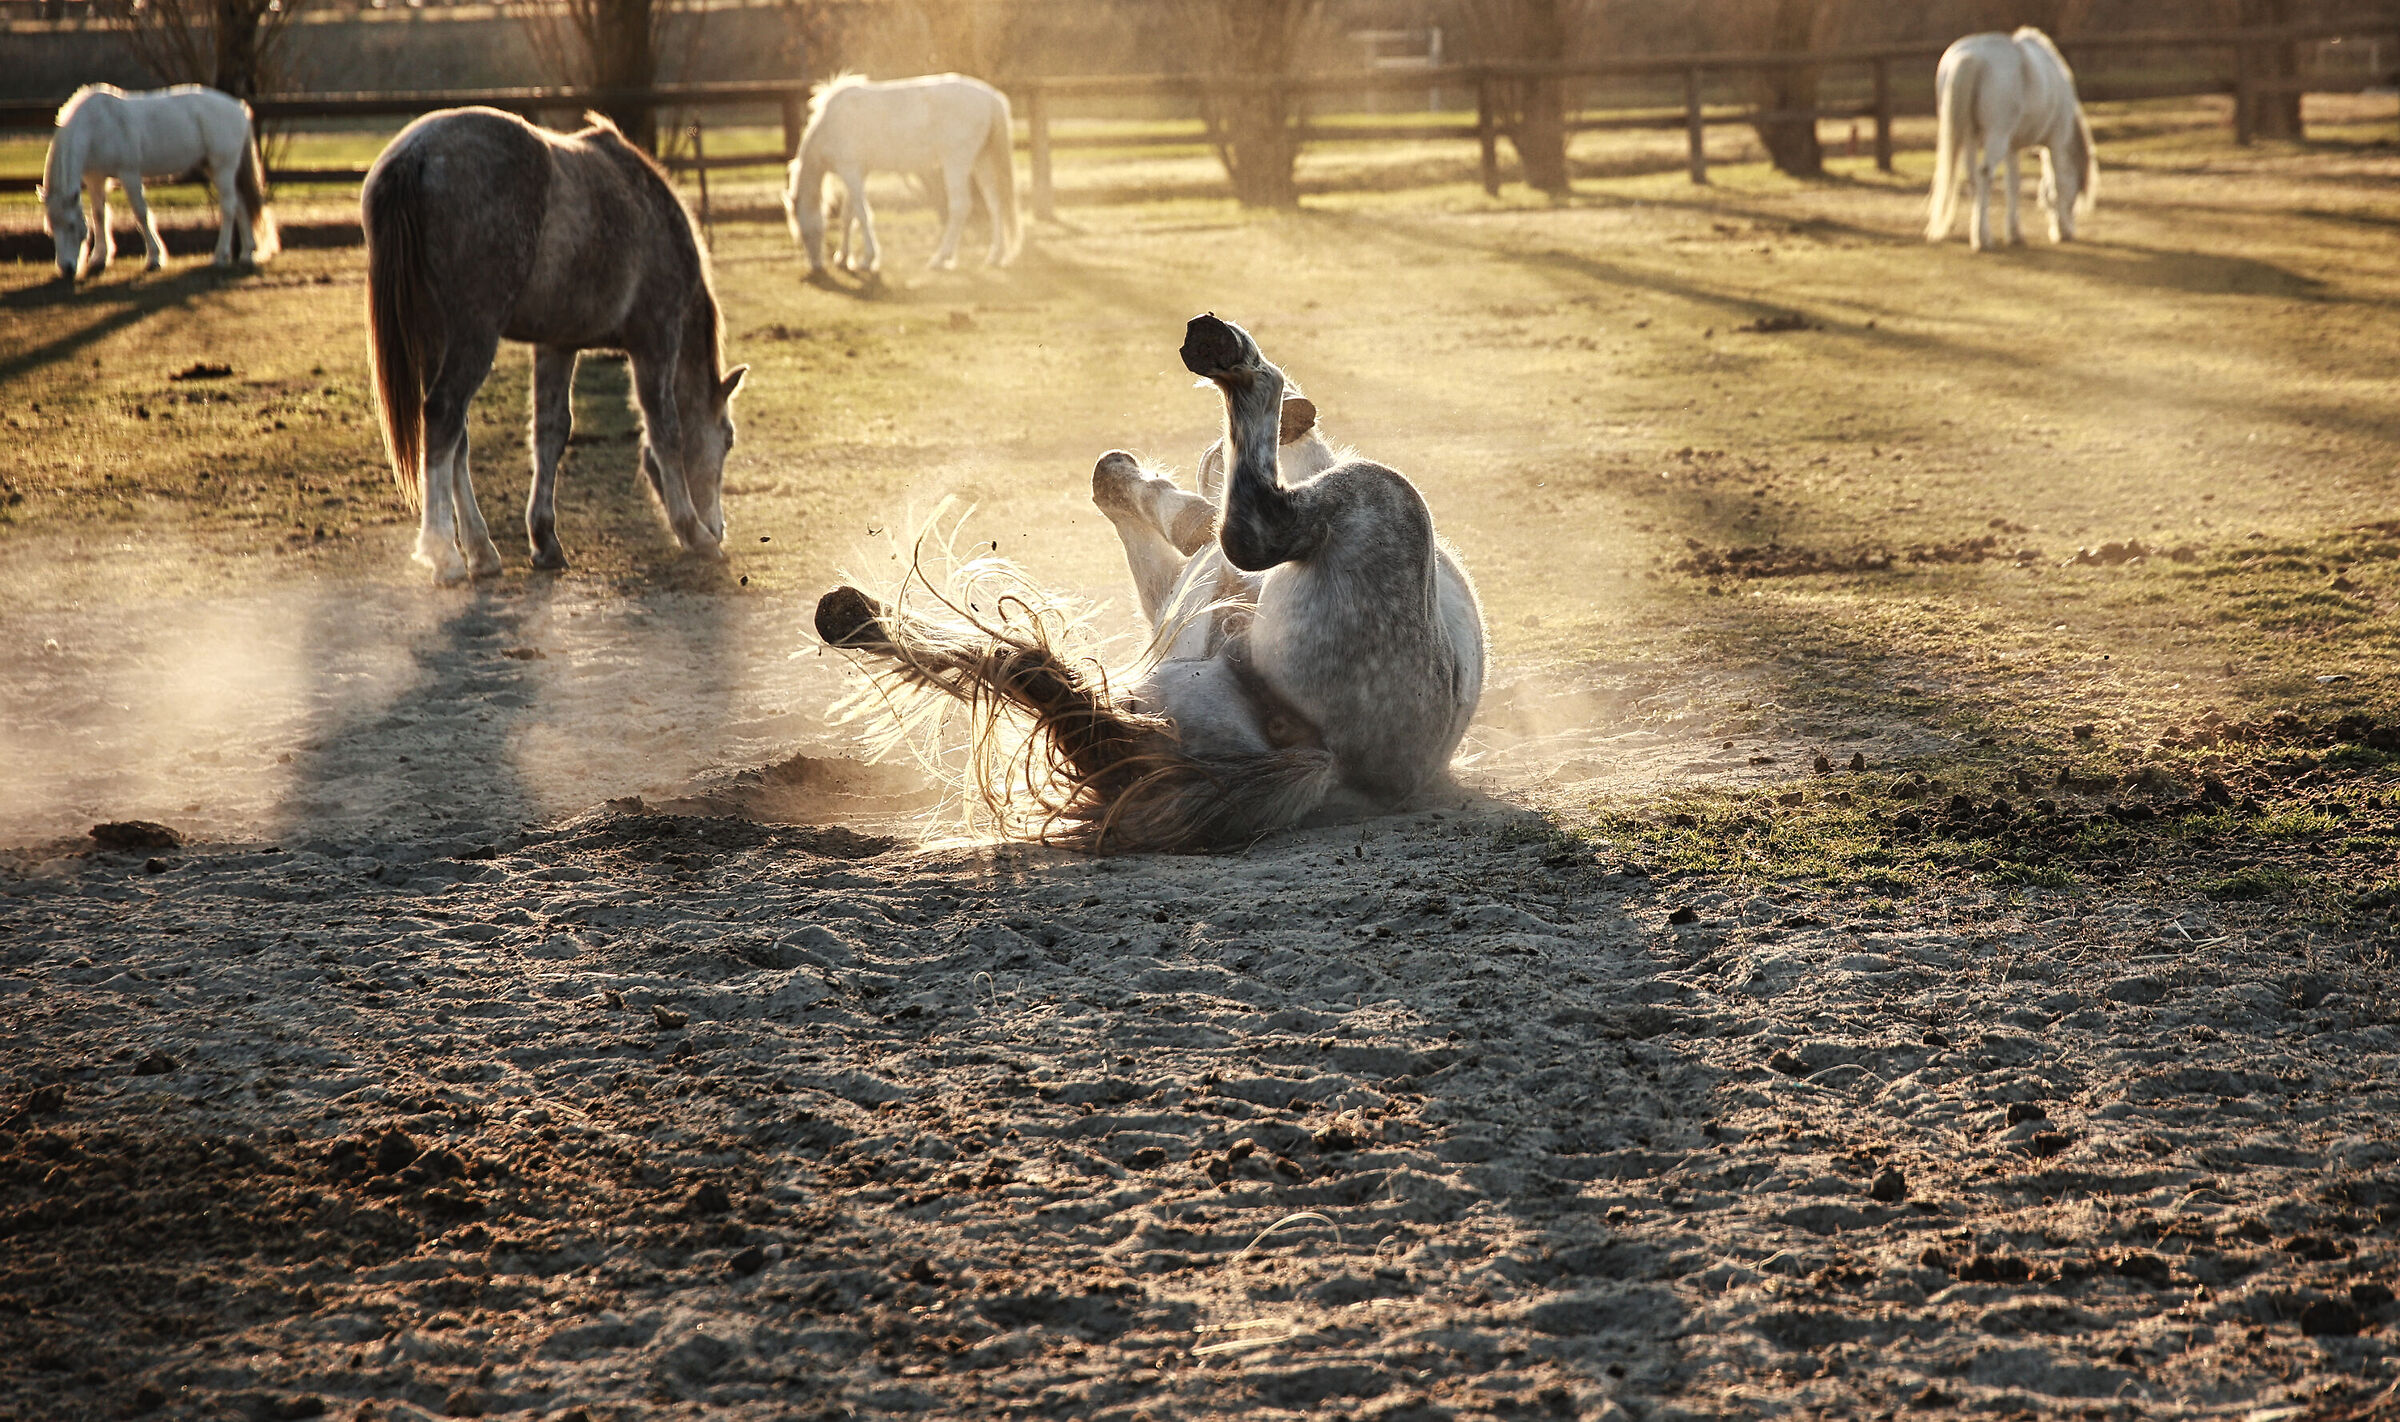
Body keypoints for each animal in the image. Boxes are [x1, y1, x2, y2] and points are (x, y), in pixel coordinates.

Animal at [39, 84, 278, 281]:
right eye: (51, 229)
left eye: (71, 225)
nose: (67, 269)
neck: (95, 126)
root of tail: (239, 108)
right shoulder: (95, 178)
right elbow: (99, 215)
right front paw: (99, 258)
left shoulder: (129, 174)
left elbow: (140, 214)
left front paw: (154, 259)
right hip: (216, 168)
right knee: (240, 204)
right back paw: (247, 253)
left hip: (223, 167)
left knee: (228, 208)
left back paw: (220, 256)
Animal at [362, 107, 747, 586]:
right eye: (727, 439)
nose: (719, 526)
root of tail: (417, 153)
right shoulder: (656, 339)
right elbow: (666, 432)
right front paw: (693, 531)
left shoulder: (557, 345)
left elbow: (551, 432)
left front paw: (545, 539)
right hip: (473, 333)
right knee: (442, 414)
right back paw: (445, 554)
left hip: (437, 338)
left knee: (455, 437)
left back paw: (481, 551)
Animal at [781, 74, 1020, 277]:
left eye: (802, 232)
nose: (816, 266)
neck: (830, 125)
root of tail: (991, 98)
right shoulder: (857, 173)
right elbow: (849, 216)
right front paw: (844, 258)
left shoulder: (850, 171)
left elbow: (862, 214)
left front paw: (868, 260)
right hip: (981, 161)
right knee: (995, 203)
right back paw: (994, 256)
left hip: (956, 163)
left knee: (960, 207)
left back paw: (940, 259)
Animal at [814, 314, 1486, 852]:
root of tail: (1327, 764)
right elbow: (1158, 502)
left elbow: (1161, 504)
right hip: (1177, 698)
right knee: (1057, 693)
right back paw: (853, 617)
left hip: (1381, 497)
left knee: (1252, 531)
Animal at [1926, 27, 2097, 252]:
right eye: (2075, 194)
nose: (2069, 230)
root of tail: (1971, 57)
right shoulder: (2057, 141)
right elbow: (2058, 182)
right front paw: (2061, 231)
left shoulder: (2012, 148)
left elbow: (2013, 185)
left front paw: (2015, 234)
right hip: (1996, 137)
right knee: (1984, 174)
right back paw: (1982, 239)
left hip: (1970, 137)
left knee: (1973, 178)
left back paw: (1981, 233)